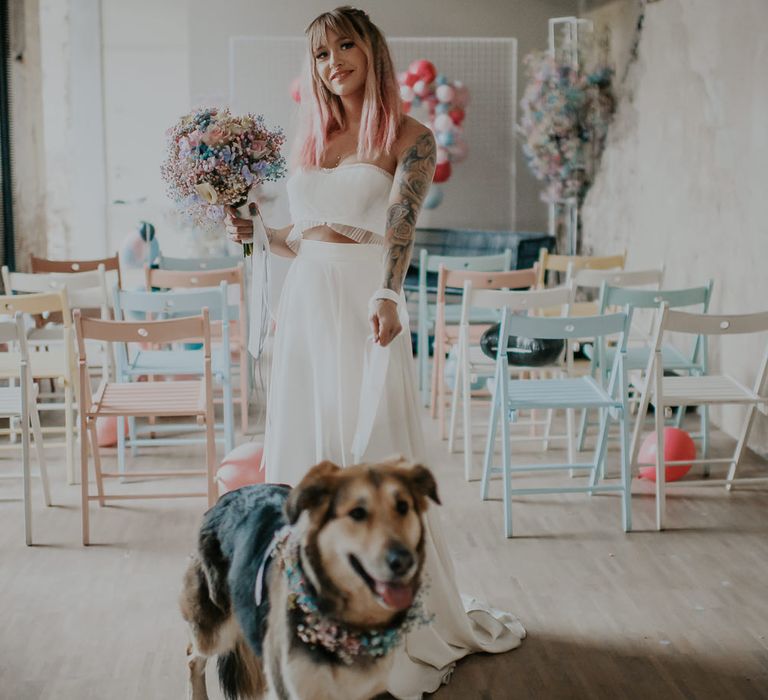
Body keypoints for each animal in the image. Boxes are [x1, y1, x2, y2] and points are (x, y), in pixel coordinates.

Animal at [180, 456, 440, 696]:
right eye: (357, 513)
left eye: (403, 507)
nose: (404, 561)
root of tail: (224, 499)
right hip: (217, 629)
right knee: (193, 657)